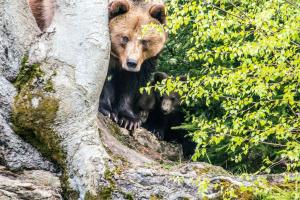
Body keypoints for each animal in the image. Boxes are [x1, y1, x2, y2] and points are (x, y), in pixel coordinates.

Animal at [99, 0, 168, 130]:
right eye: (125, 38)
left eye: (144, 41)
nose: (131, 62)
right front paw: (107, 110)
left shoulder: (145, 62)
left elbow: (132, 82)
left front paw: (129, 119)